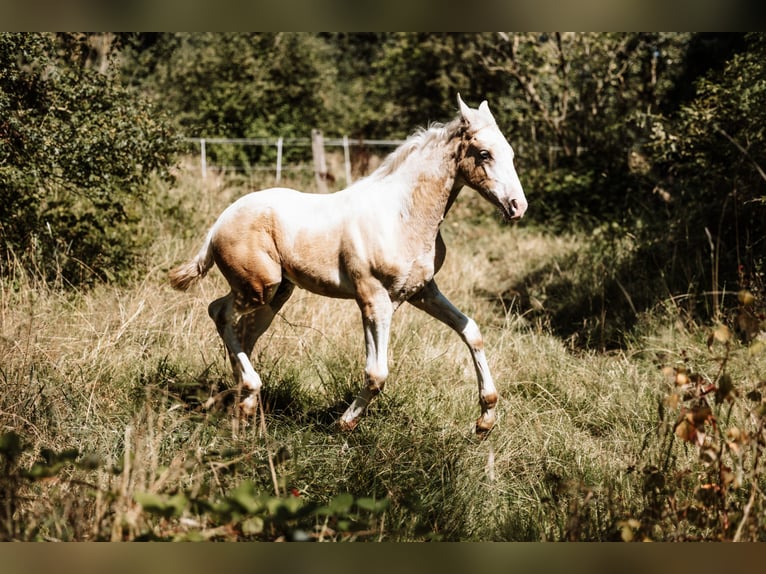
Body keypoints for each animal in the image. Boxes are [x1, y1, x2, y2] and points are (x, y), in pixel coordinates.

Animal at [170, 94, 528, 436]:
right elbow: (377, 372)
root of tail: (219, 223)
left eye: (510, 153)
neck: (401, 216)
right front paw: (343, 424)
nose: (517, 206)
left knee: (244, 331)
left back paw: (242, 406)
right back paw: (247, 390)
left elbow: (471, 332)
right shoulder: (372, 297)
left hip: (277, 293)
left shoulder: (420, 292)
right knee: (219, 312)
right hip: (259, 286)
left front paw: (485, 420)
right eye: (484, 154)